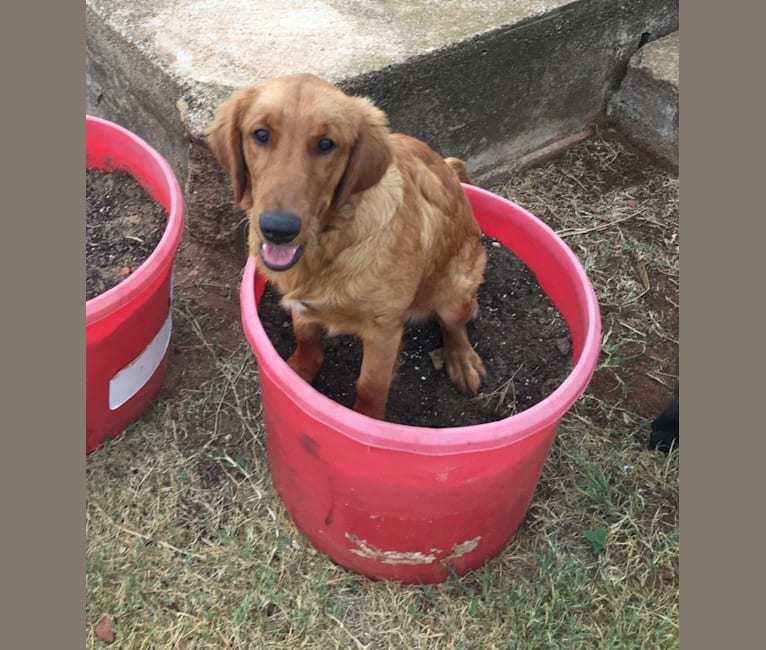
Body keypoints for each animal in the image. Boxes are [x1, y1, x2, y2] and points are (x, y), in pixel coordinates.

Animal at [207, 73, 488, 418]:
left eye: (326, 144)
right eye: (260, 134)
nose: (278, 229)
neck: (329, 245)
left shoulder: (384, 330)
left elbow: (370, 385)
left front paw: (367, 420)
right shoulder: (303, 306)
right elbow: (305, 337)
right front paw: (296, 378)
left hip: (455, 288)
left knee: (455, 326)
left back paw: (462, 360)